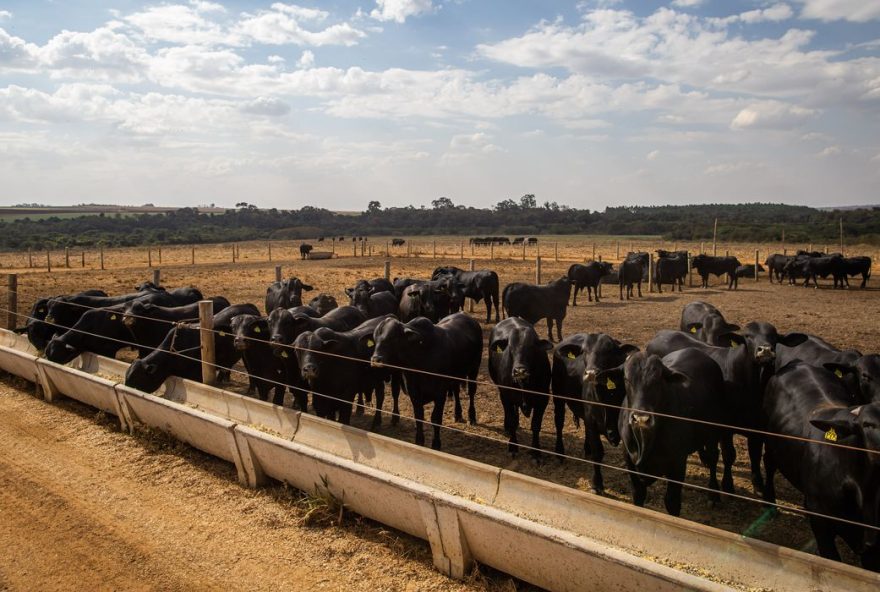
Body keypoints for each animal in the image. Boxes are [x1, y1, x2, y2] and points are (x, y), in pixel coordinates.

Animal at [372, 314, 482, 448]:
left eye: (392, 338)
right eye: (375, 340)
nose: (376, 360)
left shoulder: (440, 394)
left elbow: (436, 418)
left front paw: (436, 444)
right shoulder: (414, 393)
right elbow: (419, 416)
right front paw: (419, 441)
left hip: (474, 370)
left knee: (471, 392)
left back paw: (472, 417)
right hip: (456, 376)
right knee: (456, 391)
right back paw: (457, 414)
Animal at [488, 320, 552, 458]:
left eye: (531, 347)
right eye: (510, 348)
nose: (519, 371)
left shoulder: (543, 399)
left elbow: (536, 425)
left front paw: (536, 452)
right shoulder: (506, 395)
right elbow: (511, 420)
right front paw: (513, 446)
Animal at [552, 332, 640, 494]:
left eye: (609, 351)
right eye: (584, 351)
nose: (591, 373)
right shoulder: (592, 423)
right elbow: (598, 452)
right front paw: (597, 484)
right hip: (558, 394)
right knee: (559, 421)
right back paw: (560, 452)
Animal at [616, 352, 724, 520]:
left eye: (658, 380)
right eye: (626, 379)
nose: (641, 419)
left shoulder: (677, 464)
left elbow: (672, 502)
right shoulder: (629, 461)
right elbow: (638, 494)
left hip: (713, 431)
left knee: (713, 457)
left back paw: (713, 495)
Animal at [764, 360, 880, 568]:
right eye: (868, 424)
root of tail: (798, 363)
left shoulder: (873, 549)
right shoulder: (822, 526)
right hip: (769, 443)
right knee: (768, 466)